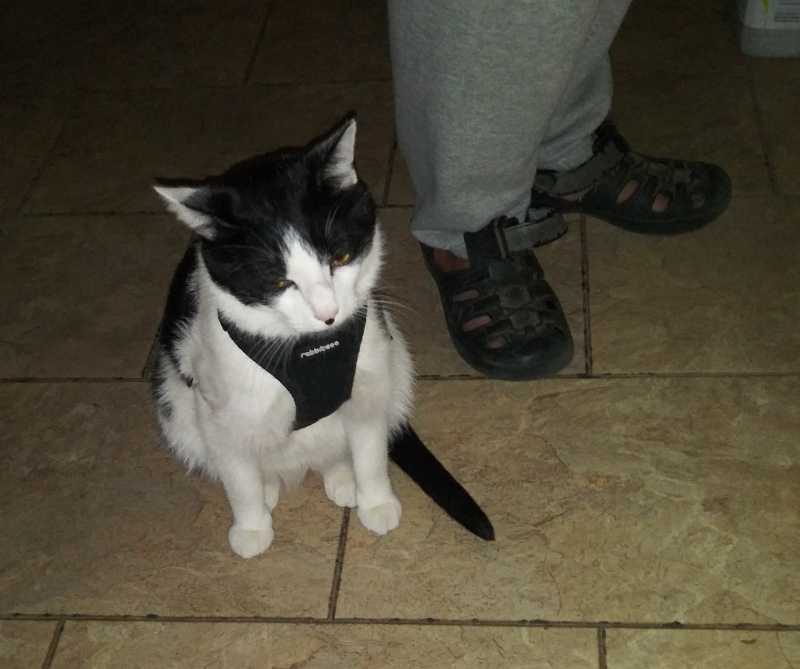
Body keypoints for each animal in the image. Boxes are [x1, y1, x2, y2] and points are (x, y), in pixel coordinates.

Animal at [151, 114, 493, 558]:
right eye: (280, 282)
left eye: (340, 258)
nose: (328, 315)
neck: (307, 347)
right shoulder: (222, 410)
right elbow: (238, 474)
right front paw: (251, 526)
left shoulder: (369, 379)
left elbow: (370, 448)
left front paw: (376, 499)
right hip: (176, 411)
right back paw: (269, 487)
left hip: (396, 366)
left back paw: (342, 477)